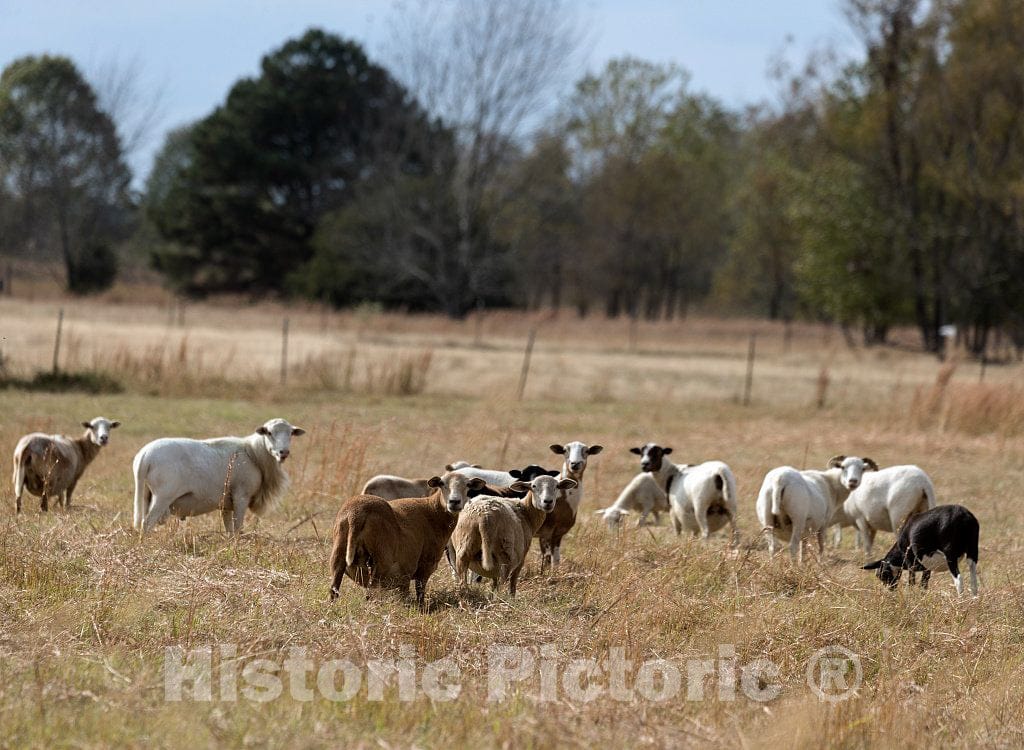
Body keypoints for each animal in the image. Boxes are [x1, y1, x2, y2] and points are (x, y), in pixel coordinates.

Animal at [132, 418, 305, 534]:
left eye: (291, 433)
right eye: (269, 433)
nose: (283, 452)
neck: (254, 453)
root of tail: (145, 456)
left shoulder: (226, 502)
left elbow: (229, 530)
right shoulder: (241, 496)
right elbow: (237, 528)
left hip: (148, 494)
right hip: (164, 496)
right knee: (147, 523)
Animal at [329, 471, 485, 607]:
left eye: (468, 485)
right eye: (442, 483)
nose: (454, 502)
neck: (434, 512)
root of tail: (356, 514)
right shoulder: (423, 565)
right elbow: (419, 592)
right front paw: (420, 609)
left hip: (339, 555)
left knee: (334, 590)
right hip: (381, 561)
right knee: (370, 593)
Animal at [537, 441, 603, 570]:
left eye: (587, 451)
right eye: (564, 450)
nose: (575, 464)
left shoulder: (558, 532)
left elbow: (555, 560)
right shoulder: (546, 531)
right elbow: (547, 559)